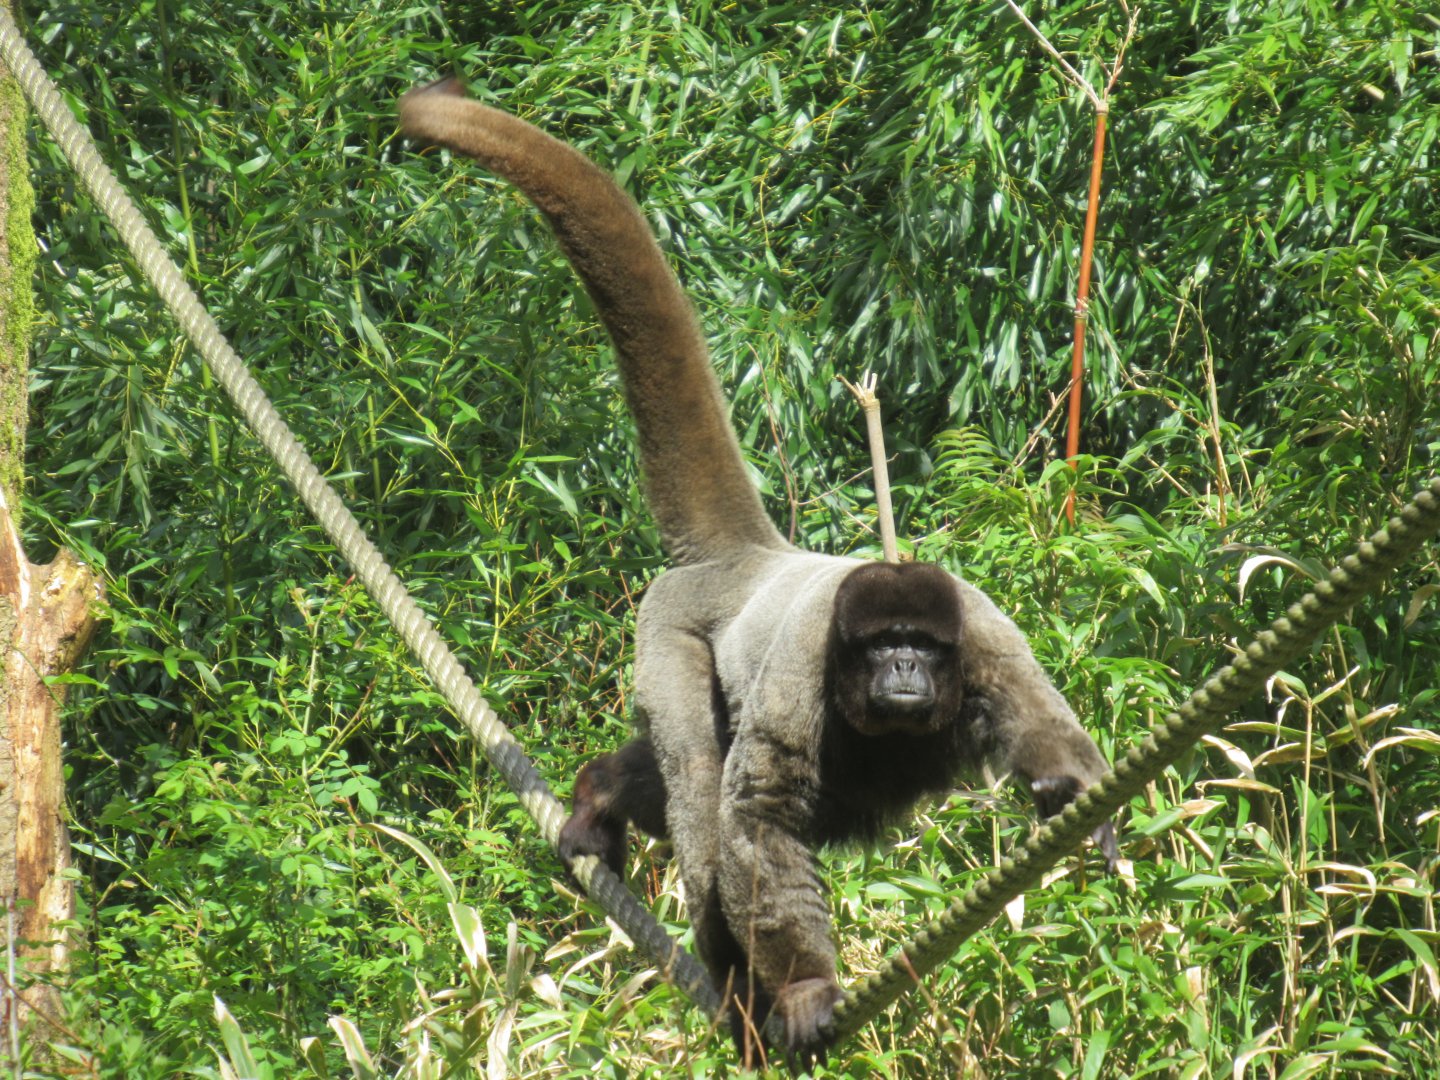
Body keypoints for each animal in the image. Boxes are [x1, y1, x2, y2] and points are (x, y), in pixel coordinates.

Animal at [399, 77, 1117, 1069]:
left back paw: (599, 798)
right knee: (703, 795)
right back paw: (730, 974)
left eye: (922, 647)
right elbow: (758, 821)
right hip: (665, 632)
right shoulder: (804, 668)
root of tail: (748, 557)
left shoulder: (986, 637)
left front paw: (1081, 801)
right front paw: (810, 988)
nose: (903, 670)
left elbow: (1048, 727)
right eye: (883, 645)